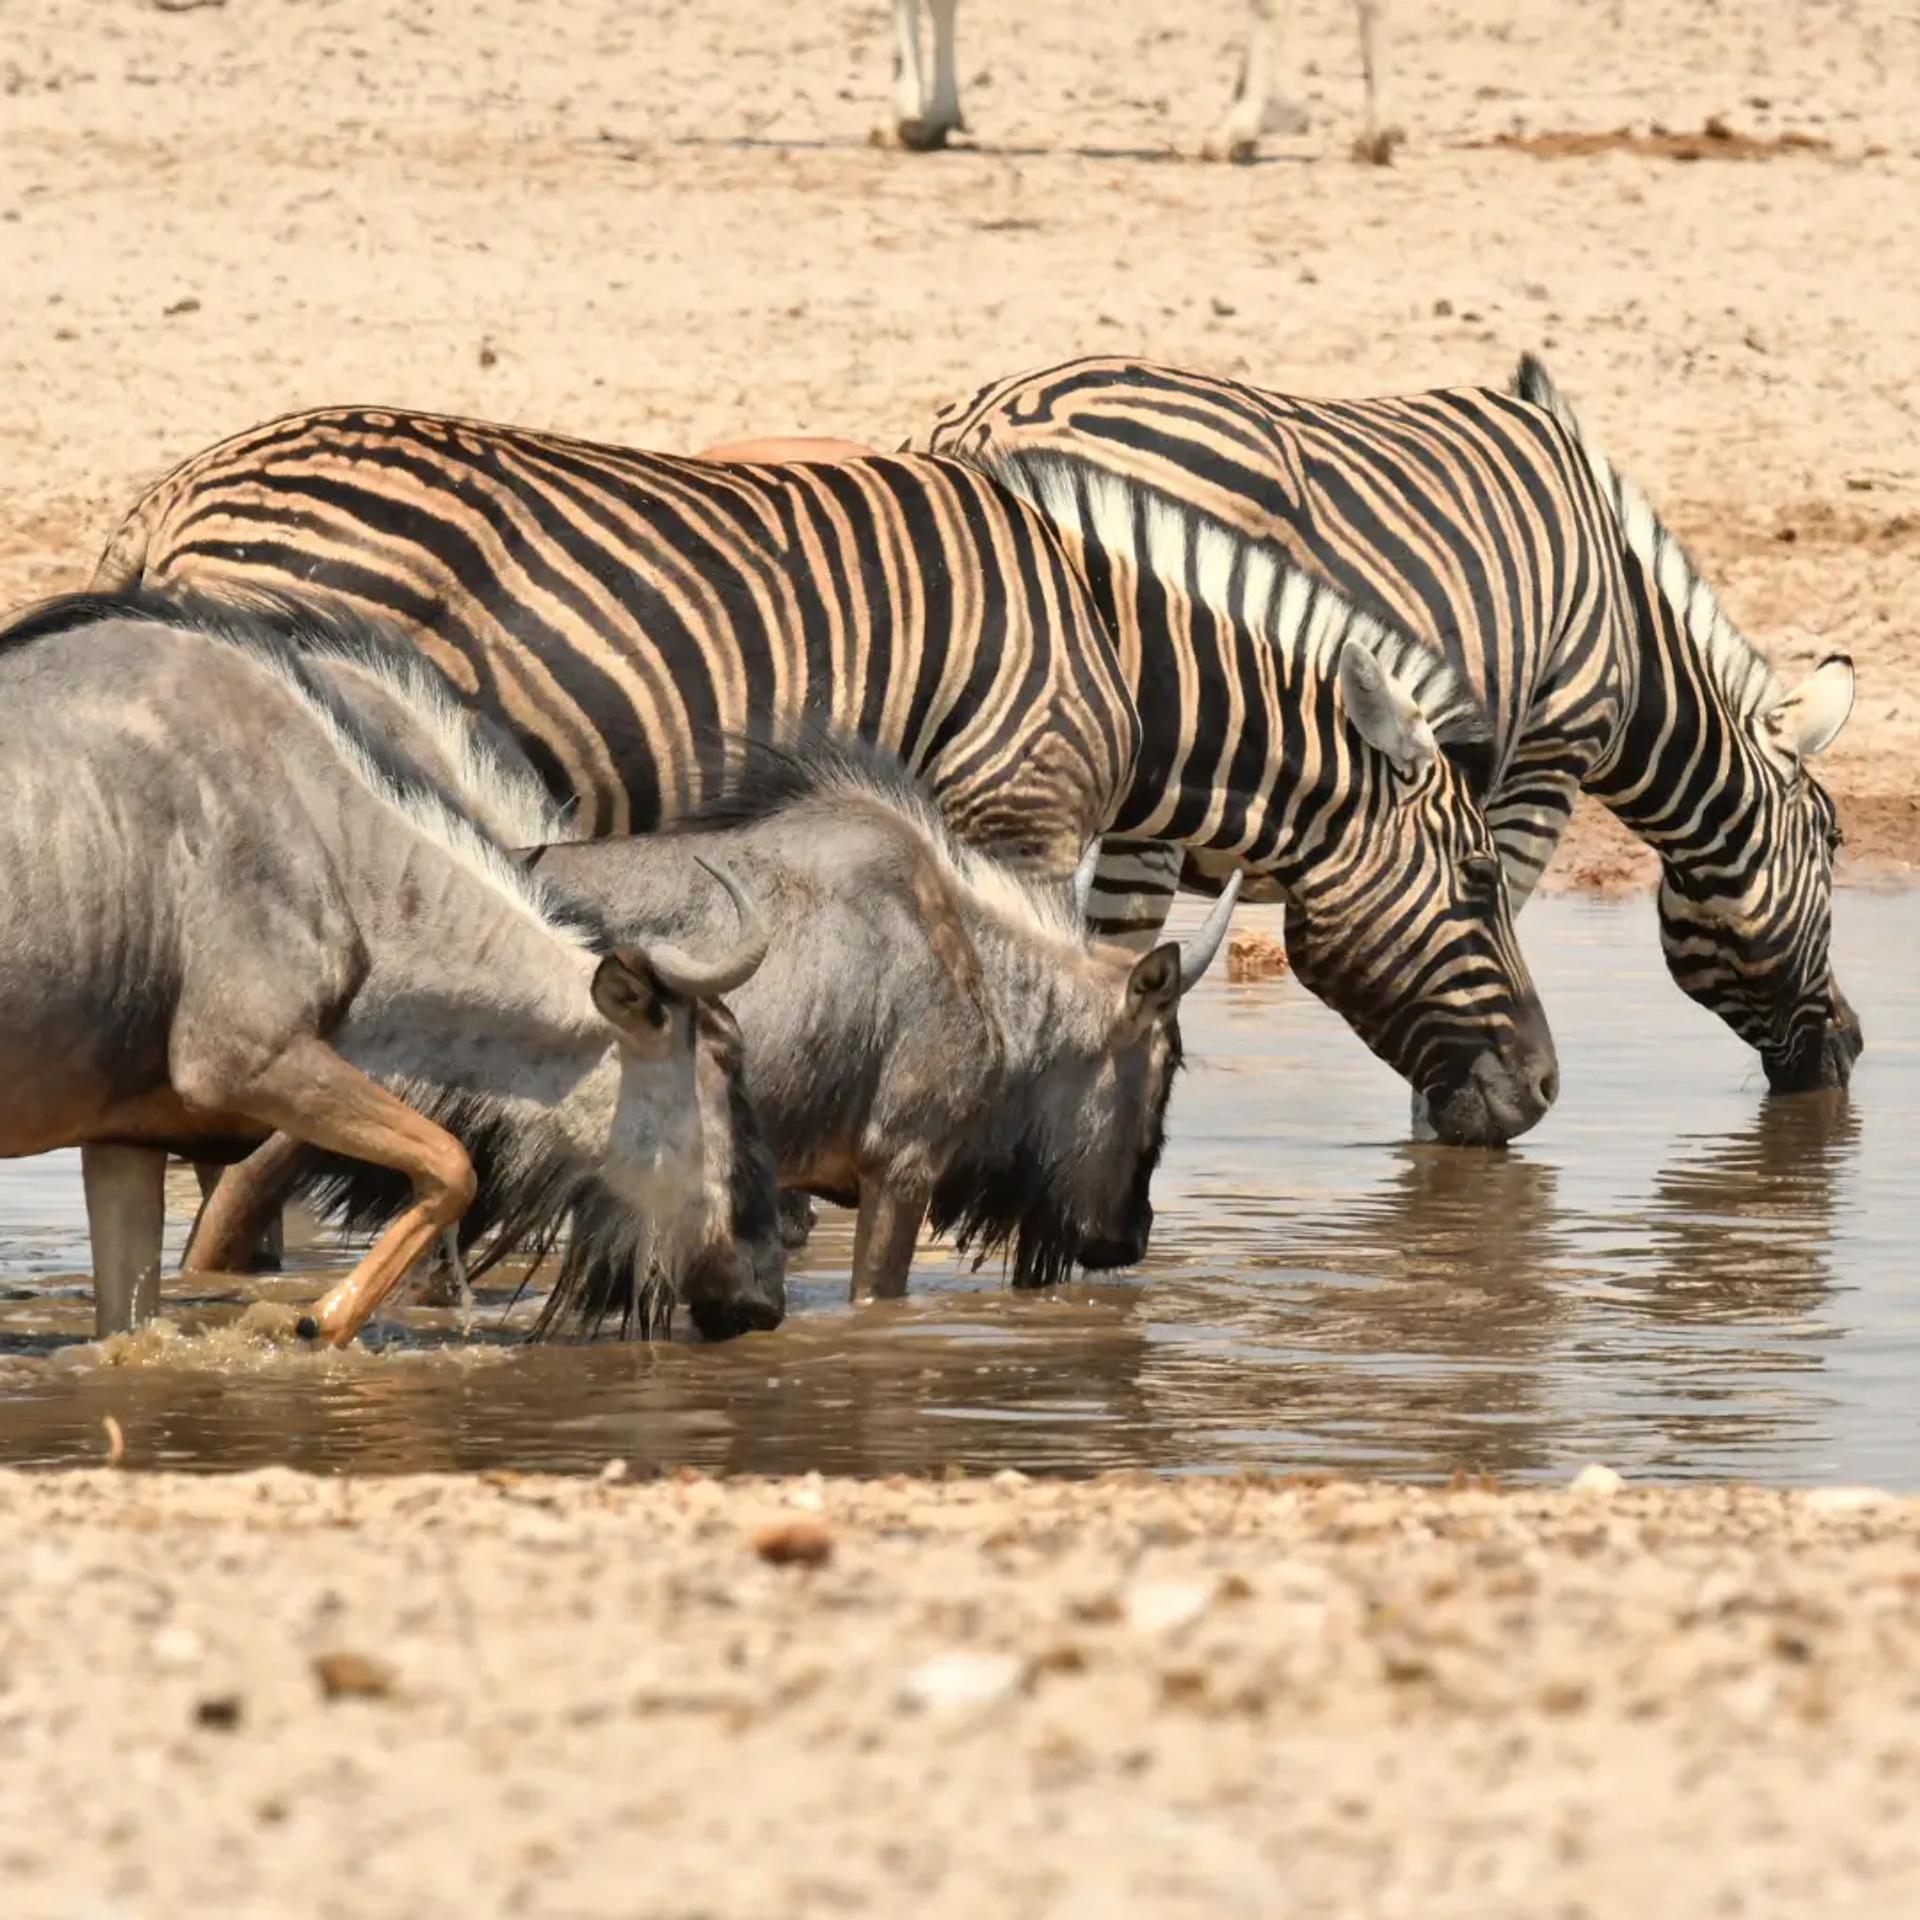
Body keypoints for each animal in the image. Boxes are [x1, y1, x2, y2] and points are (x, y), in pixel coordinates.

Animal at [913, 353, 1860, 1093]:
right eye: (1834, 839)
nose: (1851, 1049)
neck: (1631, 625)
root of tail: (987, 418)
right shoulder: (1544, 763)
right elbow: (1487, 927)